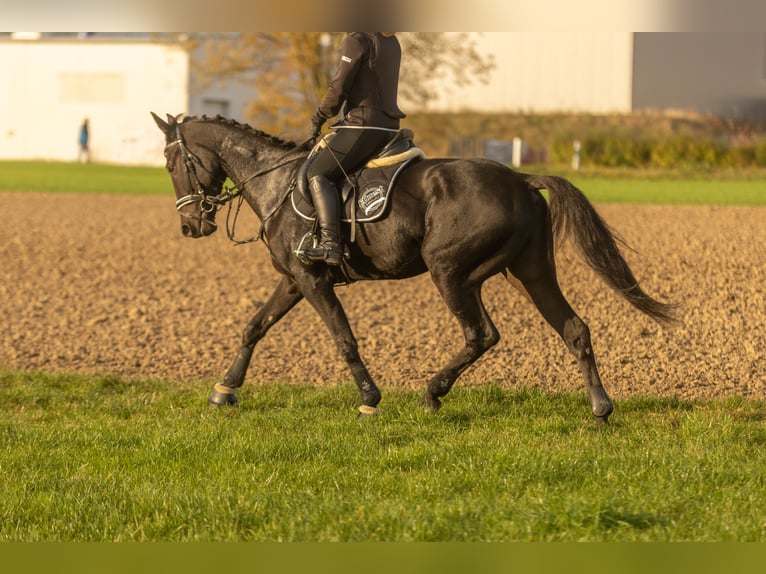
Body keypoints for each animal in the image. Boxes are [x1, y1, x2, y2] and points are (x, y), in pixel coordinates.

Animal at [153, 115, 676, 426]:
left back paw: (433, 392)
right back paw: (600, 409)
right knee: (574, 329)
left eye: (172, 161)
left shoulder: (312, 280)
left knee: (482, 334)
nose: (189, 225)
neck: (277, 182)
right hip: (531, 274)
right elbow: (254, 326)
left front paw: (370, 397)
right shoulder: (293, 280)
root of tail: (521, 179)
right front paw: (225, 390)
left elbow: (343, 338)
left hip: (452, 272)